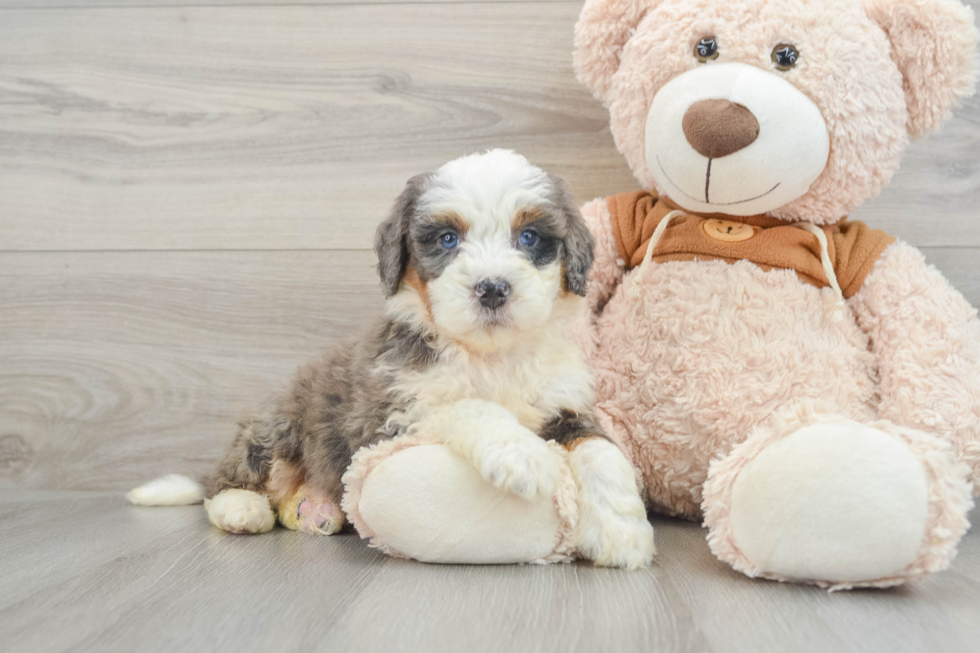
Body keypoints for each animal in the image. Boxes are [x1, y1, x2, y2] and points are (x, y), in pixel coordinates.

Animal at [128, 150, 652, 568]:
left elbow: (601, 451)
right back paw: (241, 508)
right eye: (447, 239)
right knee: (227, 481)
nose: (492, 289)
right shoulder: (388, 414)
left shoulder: (567, 405)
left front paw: (620, 532)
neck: (488, 355)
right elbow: (466, 405)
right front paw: (521, 454)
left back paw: (318, 509)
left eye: (529, 237)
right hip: (277, 427)